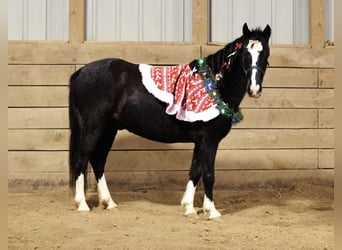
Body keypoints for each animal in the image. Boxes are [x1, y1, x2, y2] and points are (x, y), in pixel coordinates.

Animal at [68, 23, 272, 219]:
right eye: (245, 53)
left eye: (265, 54)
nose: (254, 89)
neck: (214, 85)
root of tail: (80, 72)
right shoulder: (209, 141)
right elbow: (208, 174)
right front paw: (212, 211)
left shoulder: (200, 141)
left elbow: (195, 171)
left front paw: (189, 208)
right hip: (93, 130)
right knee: (81, 160)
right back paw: (82, 205)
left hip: (108, 130)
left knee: (98, 161)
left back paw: (108, 202)